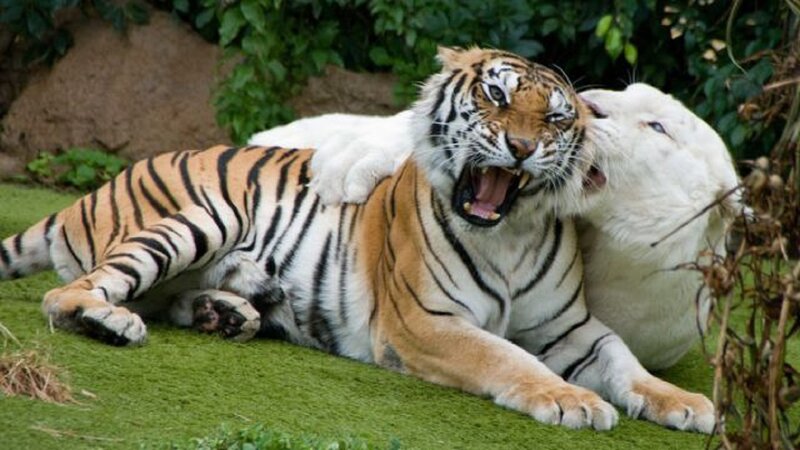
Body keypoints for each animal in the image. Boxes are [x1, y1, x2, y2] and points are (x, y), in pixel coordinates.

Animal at [0, 47, 713, 432]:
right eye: (495, 95)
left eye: (558, 118)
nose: (521, 147)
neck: (508, 232)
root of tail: (96, 189)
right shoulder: (428, 323)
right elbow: (510, 359)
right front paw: (572, 401)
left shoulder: (572, 328)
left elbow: (625, 360)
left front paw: (685, 404)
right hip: (200, 219)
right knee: (74, 292)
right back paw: (110, 320)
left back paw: (224, 314)